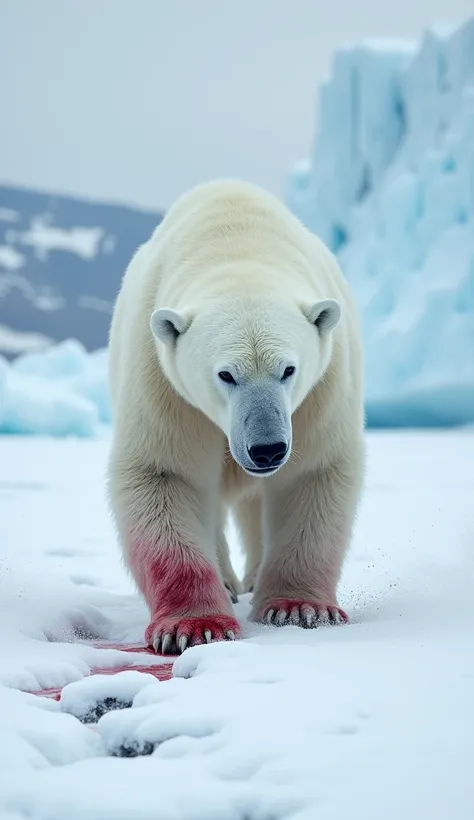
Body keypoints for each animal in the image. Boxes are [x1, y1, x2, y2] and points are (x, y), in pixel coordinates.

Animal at [107, 179, 364, 652]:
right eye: (226, 374)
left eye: (288, 369)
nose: (267, 449)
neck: (237, 243)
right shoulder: (162, 376)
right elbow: (165, 471)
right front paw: (195, 626)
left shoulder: (324, 381)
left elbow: (313, 471)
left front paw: (299, 608)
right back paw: (228, 582)